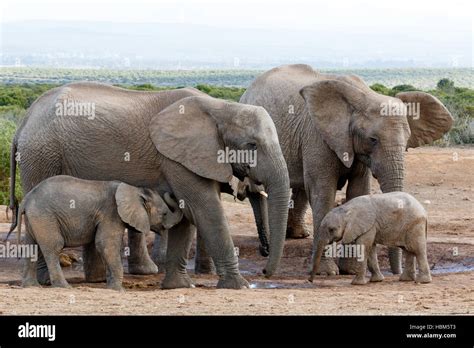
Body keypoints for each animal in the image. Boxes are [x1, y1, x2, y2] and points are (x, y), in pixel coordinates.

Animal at [14, 174, 181, 290]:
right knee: (54, 247)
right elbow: (106, 244)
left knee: (31, 247)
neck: (134, 189)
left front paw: (111, 287)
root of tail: (26, 198)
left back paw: (31, 286)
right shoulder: (111, 212)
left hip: (35, 218)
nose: (171, 192)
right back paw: (64, 287)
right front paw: (119, 290)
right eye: (164, 213)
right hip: (44, 216)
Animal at [243, 63, 454, 274]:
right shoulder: (317, 135)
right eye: (373, 139)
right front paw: (327, 272)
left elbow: (358, 190)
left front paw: (351, 270)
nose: (397, 273)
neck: (364, 95)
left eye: (407, 141)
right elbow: (323, 193)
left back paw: (298, 235)